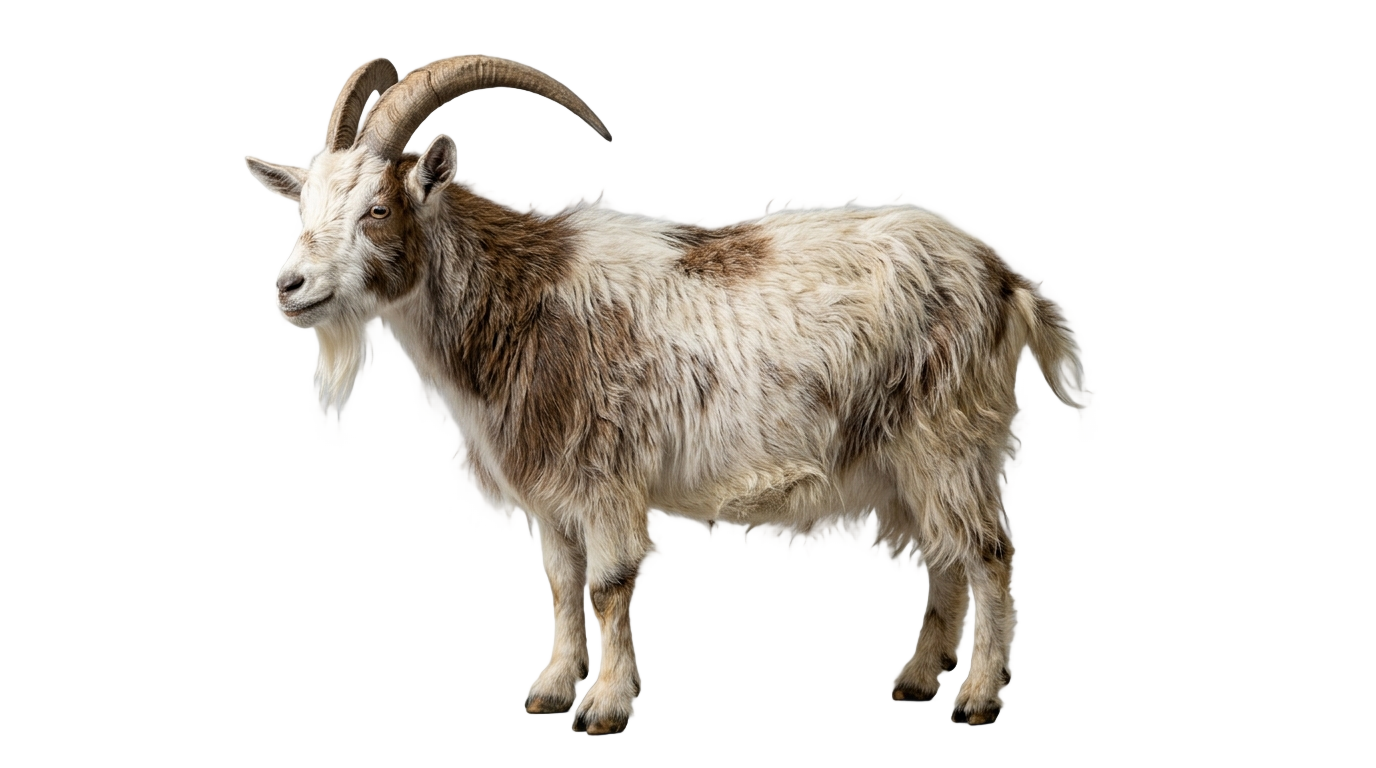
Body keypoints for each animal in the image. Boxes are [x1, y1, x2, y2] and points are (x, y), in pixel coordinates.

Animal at [247, 56, 1074, 734]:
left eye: (377, 208)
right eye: (303, 208)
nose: (291, 288)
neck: (524, 300)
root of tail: (999, 276)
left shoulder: (607, 474)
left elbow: (608, 585)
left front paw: (607, 705)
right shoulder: (552, 493)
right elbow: (562, 584)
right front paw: (553, 688)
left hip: (949, 437)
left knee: (988, 552)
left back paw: (978, 695)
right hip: (913, 456)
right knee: (945, 554)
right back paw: (917, 680)